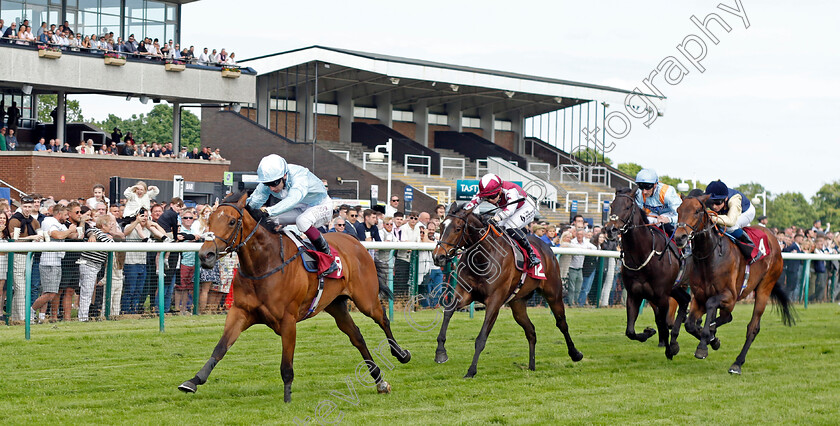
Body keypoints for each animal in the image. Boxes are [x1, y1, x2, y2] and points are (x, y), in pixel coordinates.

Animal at [178, 193, 410, 400]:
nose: (205, 255)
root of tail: (355, 242)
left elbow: (286, 364)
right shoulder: (240, 312)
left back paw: (401, 354)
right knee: (357, 337)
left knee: (383, 319)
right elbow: (220, 347)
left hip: (366, 299)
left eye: (232, 221)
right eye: (208, 220)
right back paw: (380, 381)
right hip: (335, 305)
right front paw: (193, 381)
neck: (264, 265)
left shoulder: (288, 320)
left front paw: (287, 399)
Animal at [430, 201, 580, 378]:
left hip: (553, 293)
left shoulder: (494, 301)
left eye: (458, 228)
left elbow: (481, 338)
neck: (483, 256)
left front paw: (471, 371)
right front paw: (440, 352)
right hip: (517, 303)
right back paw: (531, 365)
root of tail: (547, 247)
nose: (438, 256)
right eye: (441, 226)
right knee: (531, 331)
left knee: (562, 323)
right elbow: (448, 311)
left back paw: (575, 354)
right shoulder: (465, 294)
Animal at [604, 188, 688, 358]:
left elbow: (663, 324)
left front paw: (669, 350)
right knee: (684, 301)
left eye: (628, 206)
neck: (642, 257)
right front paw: (648, 333)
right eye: (611, 205)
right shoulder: (634, 294)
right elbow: (630, 331)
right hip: (675, 289)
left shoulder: (662, 296)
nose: (611, 230)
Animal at [668, 195, 796, 374]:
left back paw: (737, 363)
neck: (711, 257)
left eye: (697, 211)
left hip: (765, 287)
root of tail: (774, 239)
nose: (680, 237)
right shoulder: (699, 297)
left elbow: (711, 304)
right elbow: (690, 324)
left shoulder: (730, 296)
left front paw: (703, 345)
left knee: (752, 327)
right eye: (678, 210)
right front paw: (711, 338)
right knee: (726, 317)